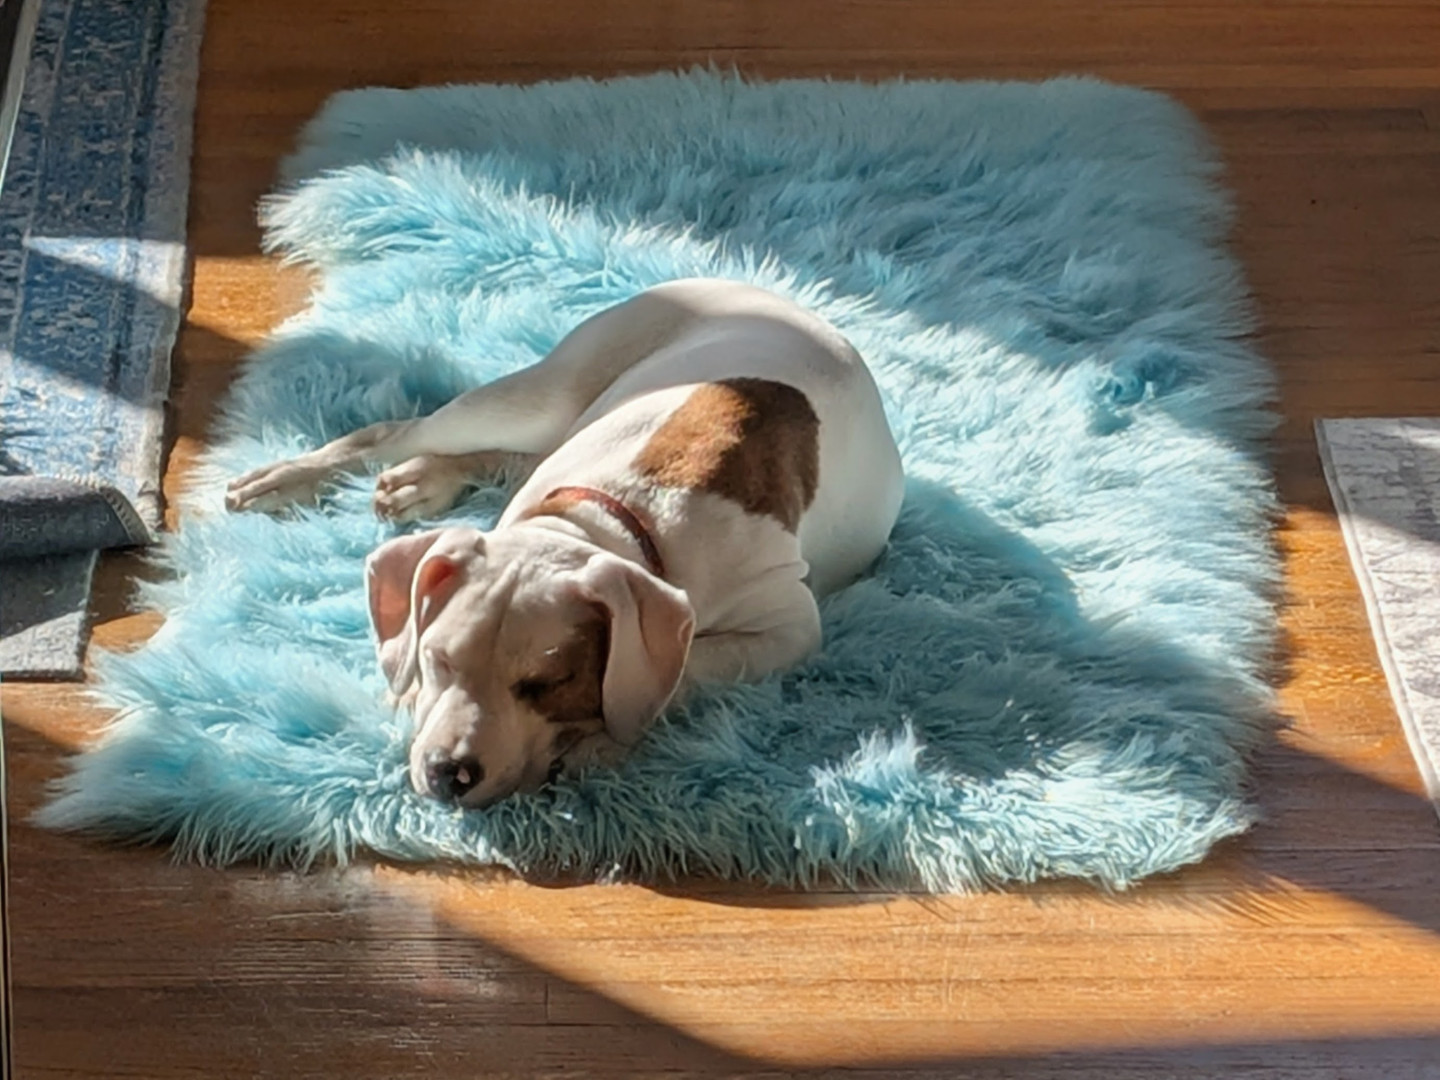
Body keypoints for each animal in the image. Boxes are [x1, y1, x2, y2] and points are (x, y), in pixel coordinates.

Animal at [227, 279, 904, 806]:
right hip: (542, 393)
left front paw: (597, 739)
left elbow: (685, 670)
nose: (449, 772)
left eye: (547, 683)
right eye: (439, 659)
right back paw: (289, 478)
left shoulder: (787, 629)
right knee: (395, 431)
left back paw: (422, 479)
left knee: (498, 454)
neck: (612, 519)